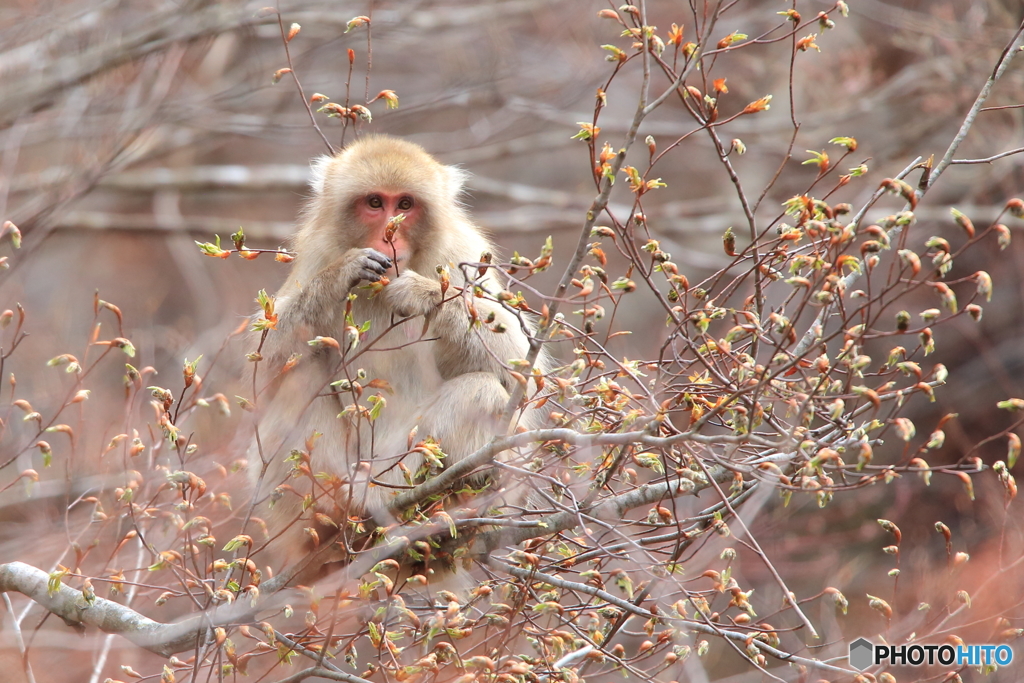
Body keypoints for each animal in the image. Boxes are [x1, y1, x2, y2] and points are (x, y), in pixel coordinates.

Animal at [247, 133, 548, 565]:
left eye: (405, 205)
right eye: (375, 203)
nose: (390, 235)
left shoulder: (460, 254)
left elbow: (520, 372)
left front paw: (422, 294)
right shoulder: (317, 252)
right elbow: (266, 368)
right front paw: (340, 275)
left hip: (400, 460)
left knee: (482, 390)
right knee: (300, 374)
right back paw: (333, 514)